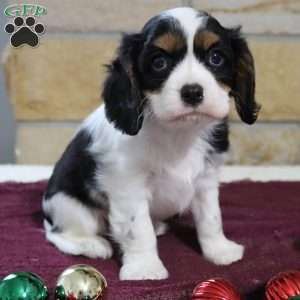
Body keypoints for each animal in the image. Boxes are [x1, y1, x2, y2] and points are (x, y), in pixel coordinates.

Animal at [42, 7, 260, 280]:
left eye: (216, 58)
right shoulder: (128, 186)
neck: (178, 132)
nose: (192, 92)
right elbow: (138, 229)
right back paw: (92, 244)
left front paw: (219, 250)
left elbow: (211, 218)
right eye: (159, 63)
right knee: (56, 234)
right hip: (70, 206)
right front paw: (145, 268)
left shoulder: (206, 181)